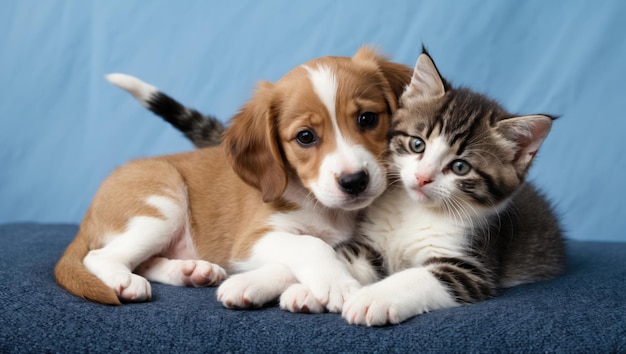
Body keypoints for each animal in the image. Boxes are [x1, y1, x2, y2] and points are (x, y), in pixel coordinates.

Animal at [54, 47, 410, 312]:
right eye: (305, 137)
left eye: (368, 118)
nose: (354, 181)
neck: (326, 208)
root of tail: (90, 212)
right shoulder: (251, 241)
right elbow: (311, 244)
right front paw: (336, 284)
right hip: (162, 208)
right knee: (100, 256)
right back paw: (123, 280)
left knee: (144, 261)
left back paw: (190, 271)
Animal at [338, 49, 564, 326]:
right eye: (417, 144)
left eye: (460, 167)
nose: (423, 177)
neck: (415, 211)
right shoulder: (372, 243)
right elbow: (345, 254)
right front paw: (318, 283)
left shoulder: (472, 266)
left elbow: (420, 276)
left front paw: (372, 298)